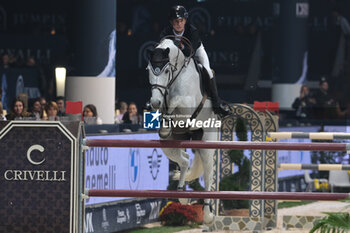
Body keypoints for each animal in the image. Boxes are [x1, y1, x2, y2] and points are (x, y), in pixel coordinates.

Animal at [146, 39, 217, 225]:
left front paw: (166, 113)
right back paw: (182, 194)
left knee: (208, 174)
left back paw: (208, 215)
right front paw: (164, 123)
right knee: (184, 159)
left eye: (166, 70)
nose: (155, 102)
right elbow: (166, 106)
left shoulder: (187, 105)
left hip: (207, 141)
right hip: (170, 144)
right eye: (149, 70)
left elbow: (175, 100)